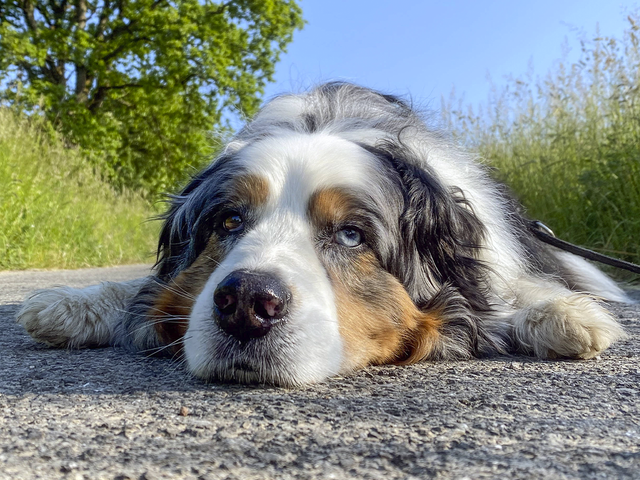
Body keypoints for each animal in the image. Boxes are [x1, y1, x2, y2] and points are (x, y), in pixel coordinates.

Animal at [17, 80, 628, 384]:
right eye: (229, 221)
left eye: (352, 236)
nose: (246, 303)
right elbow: (140, 290)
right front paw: (69, 305)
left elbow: (507, 293)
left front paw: (561, 315)